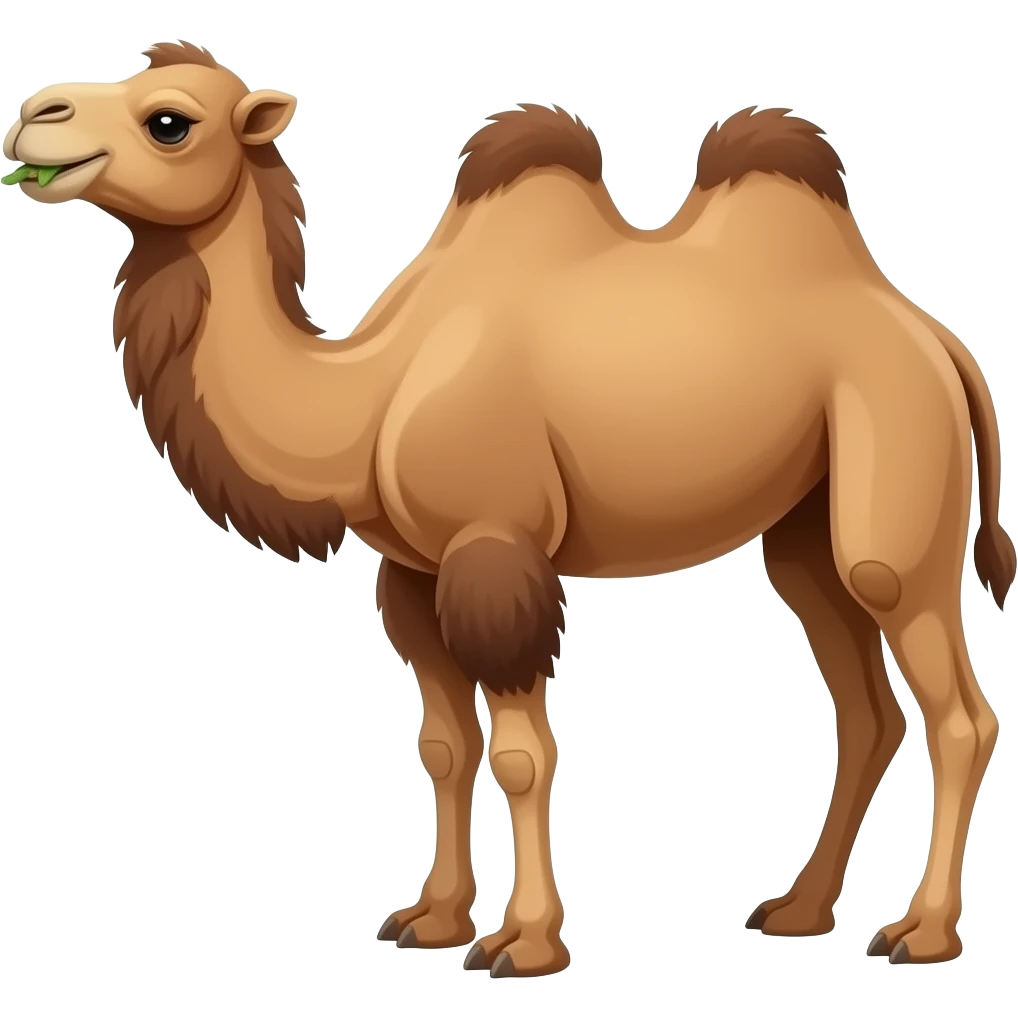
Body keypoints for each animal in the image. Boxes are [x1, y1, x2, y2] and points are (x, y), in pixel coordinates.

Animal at [4, 43, 1012, 976]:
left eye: (169, 121)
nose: (30, 118)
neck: (363, 397)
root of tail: (938, 341)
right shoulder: (413, 572)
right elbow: (444, 746)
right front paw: (431, 920)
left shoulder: (498, 549)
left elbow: (524, 755)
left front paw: (524, 944)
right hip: (804, 527)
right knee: (865, 707)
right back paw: (798, 911)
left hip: (896, 471)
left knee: (956, 707)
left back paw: (922, 933)